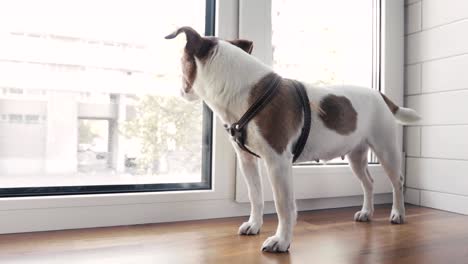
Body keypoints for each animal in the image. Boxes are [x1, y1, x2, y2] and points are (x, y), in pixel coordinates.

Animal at [165, 27, 420, 254]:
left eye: (181, 63)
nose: (180, 91)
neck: (243, 91)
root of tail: (381, 95)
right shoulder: (247, 161)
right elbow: (255, 196)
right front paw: (255, 225)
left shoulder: (278, 162)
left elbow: (283, 205)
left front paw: (281, 241)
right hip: (356, 155)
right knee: (368, 182)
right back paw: (367, 212)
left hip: (386, 151)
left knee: (397, 181)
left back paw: (398, 213)